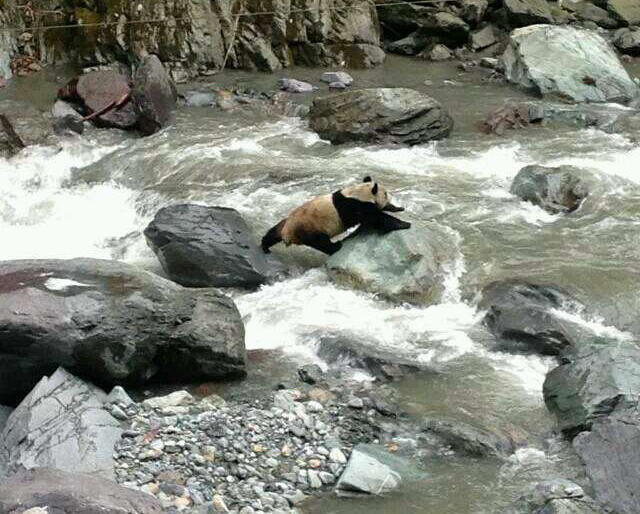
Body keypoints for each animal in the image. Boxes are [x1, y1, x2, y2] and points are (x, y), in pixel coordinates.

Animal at [260, 177, 410, 255]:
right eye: (385, 194)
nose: (391, 197)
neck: (357, 193)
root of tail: (287, 235)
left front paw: (398, 208)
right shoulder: (354, 206)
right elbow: (375, 218)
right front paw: (404, 224)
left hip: (286, 223)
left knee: (273, 232)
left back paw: (265, 246)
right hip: (309, 228)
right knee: (321, 243)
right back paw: (336, 246)